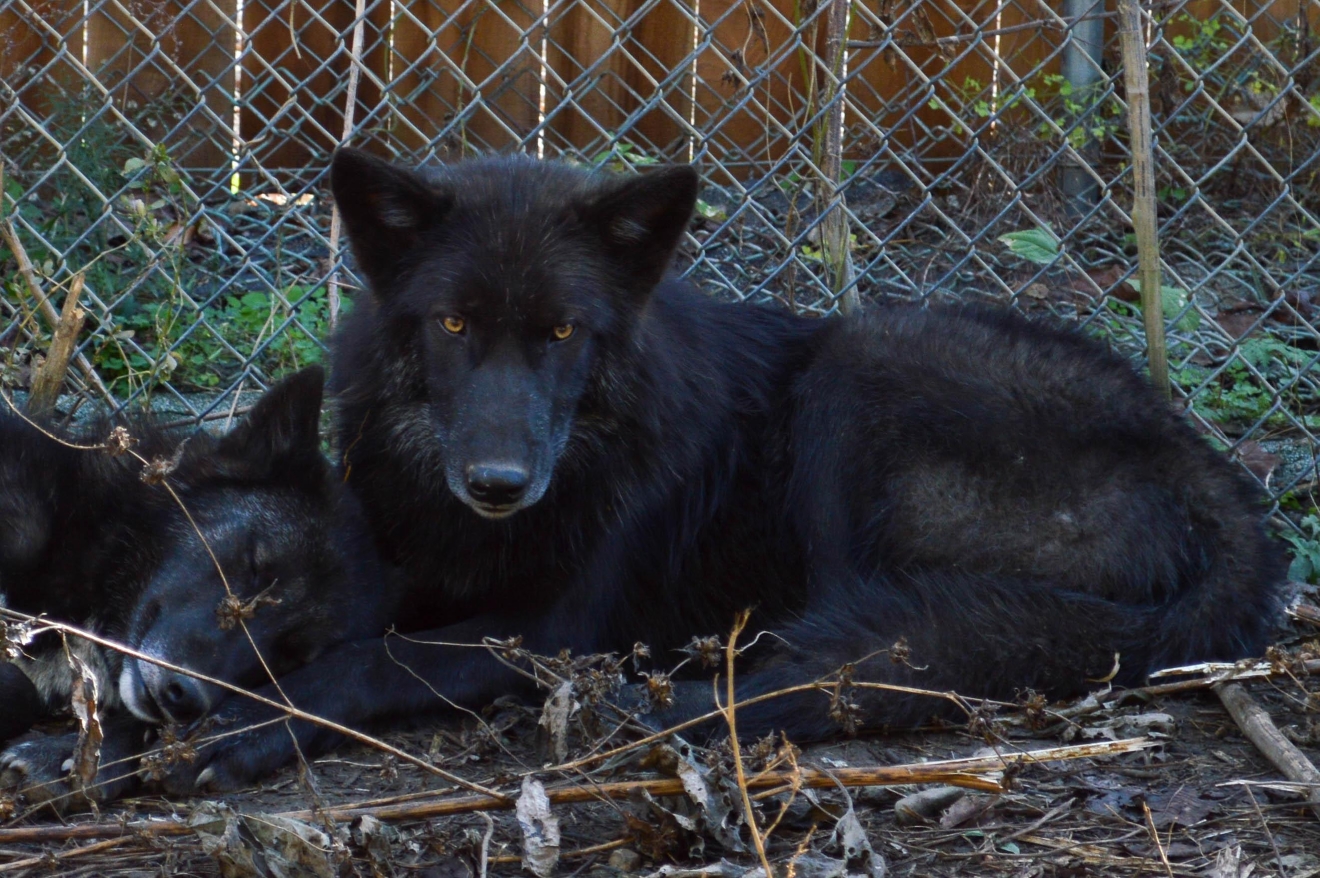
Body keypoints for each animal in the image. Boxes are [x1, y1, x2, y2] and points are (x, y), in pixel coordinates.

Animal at [155, 148, 1283, 792]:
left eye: (562, 330)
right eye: (455, 325)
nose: (499, 481)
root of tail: (1223, 489)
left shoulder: (556, 627)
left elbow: (380, 660)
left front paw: (253, 725)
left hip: (854, 374)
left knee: (844, 666)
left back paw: (653, 705)